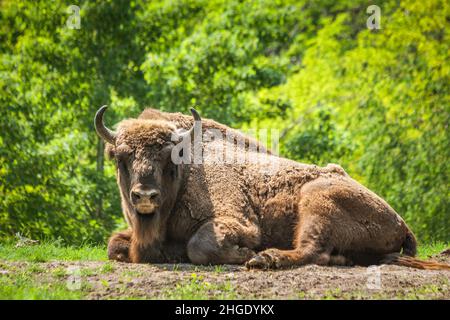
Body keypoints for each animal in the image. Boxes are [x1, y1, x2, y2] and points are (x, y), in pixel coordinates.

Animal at [94, 105, 446, 270]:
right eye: (121, 158)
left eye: (169, 160)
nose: (145, 196)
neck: (188, 173)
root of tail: (401, 222)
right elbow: (114, 246)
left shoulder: (237, 221)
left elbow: (200, 245)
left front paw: (246, 253)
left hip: (316, 200)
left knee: (311, 250)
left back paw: (265, 259)